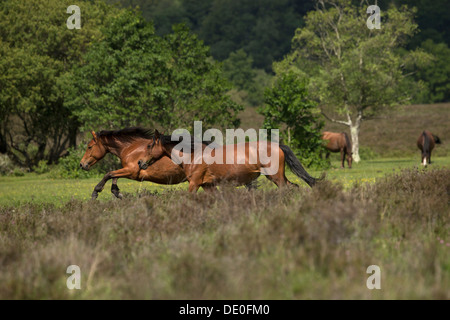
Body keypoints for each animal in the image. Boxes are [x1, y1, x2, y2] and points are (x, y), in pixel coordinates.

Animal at [79, 127, 211, 200]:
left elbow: (109, 174)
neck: (131, 148)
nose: (82, 164)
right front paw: (118, 193)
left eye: (89, 147)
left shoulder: (131, 172)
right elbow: (114, 177)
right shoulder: (127, 170)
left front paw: (95, 192)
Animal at [137, 129, 316, 192]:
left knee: (286, 189)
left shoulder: (194, 183)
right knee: (293, 187)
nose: (140, 163)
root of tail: (277, 145)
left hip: (275, 176)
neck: (193, 155)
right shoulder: (207, 186)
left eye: (149, 145)